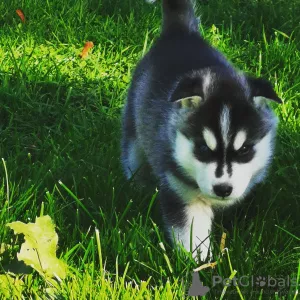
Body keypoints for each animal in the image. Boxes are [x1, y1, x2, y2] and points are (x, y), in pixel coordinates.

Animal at [120, 0, 280, 260]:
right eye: (204, 149)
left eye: (244, 150)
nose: (223, 188)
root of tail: (181, 32)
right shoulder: (181, 190)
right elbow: (191, 233)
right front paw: (198, 262)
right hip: (134, 125)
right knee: (133, 155)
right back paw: (138, 185)